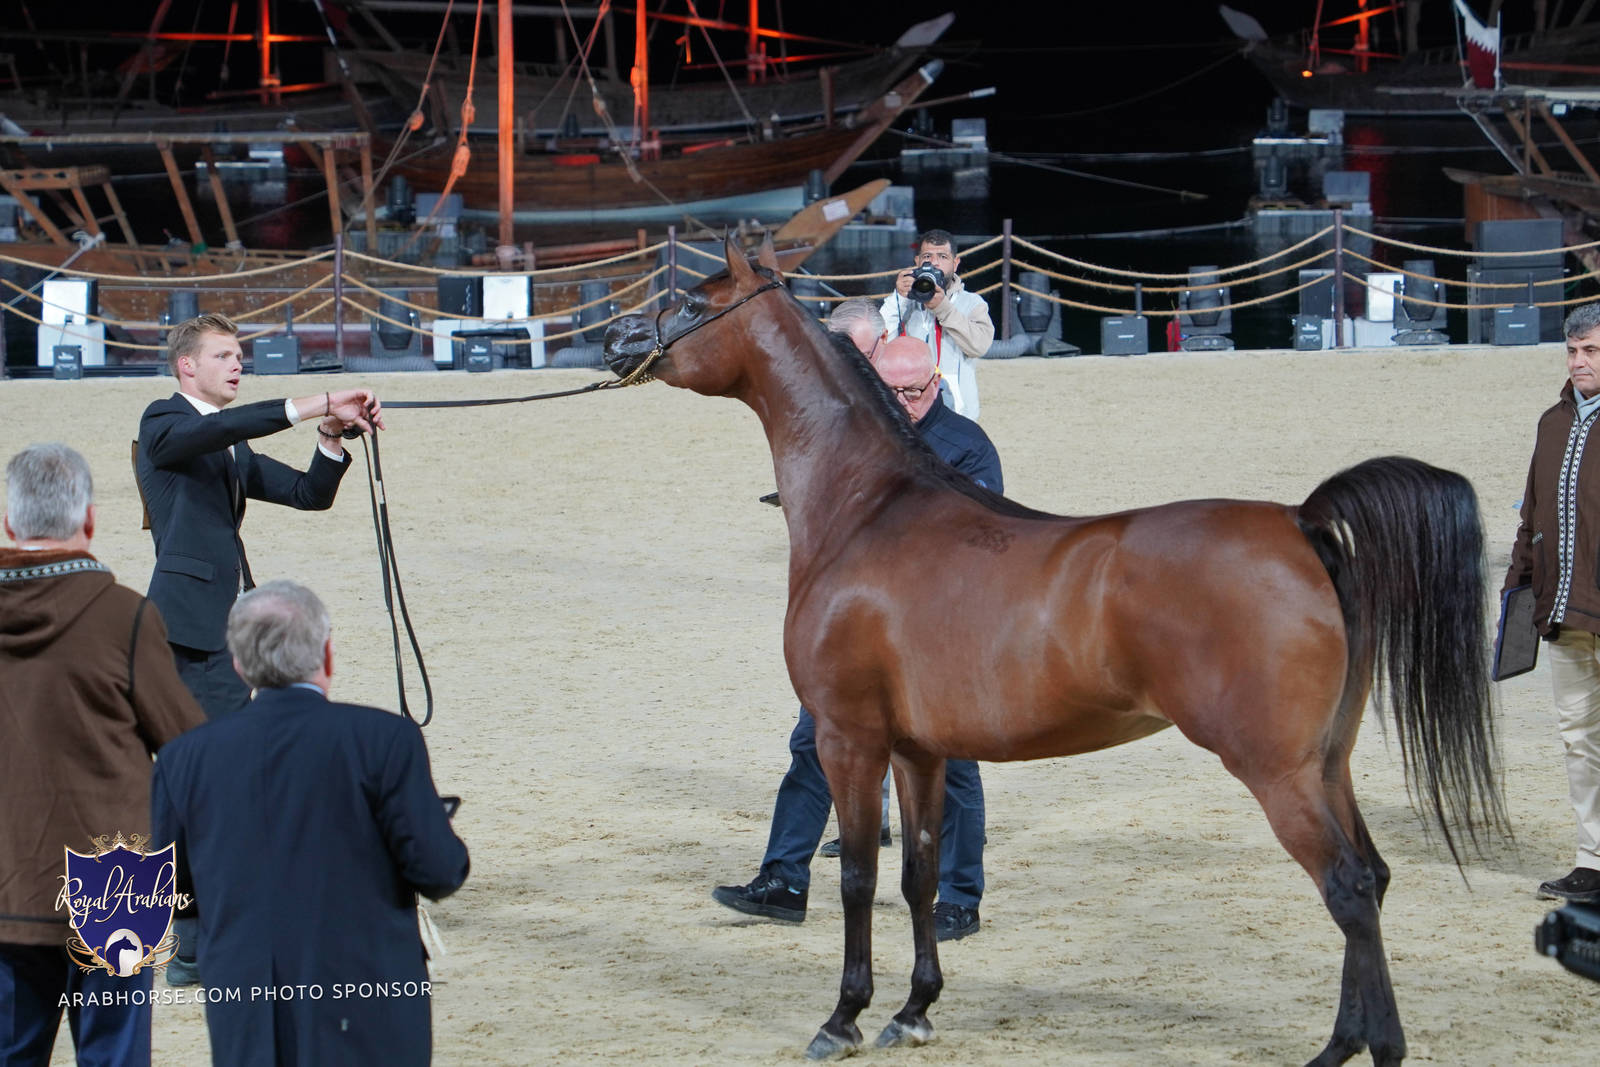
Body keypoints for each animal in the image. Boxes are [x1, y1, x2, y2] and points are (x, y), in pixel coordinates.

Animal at [602, 236, 1509, 1066]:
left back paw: (1365, 1047)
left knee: (1348, 888)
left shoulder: (847, 736)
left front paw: (844, 1016)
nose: (616, 339)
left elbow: (858, 874)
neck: (868, 509)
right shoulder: (919, 750)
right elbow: (918, 873)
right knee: (1375, 876)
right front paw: (915, 1009)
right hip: (1328, 762)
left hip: (1277, 771)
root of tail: (1300, 522)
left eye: (693, 300)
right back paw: (1343, 1044)